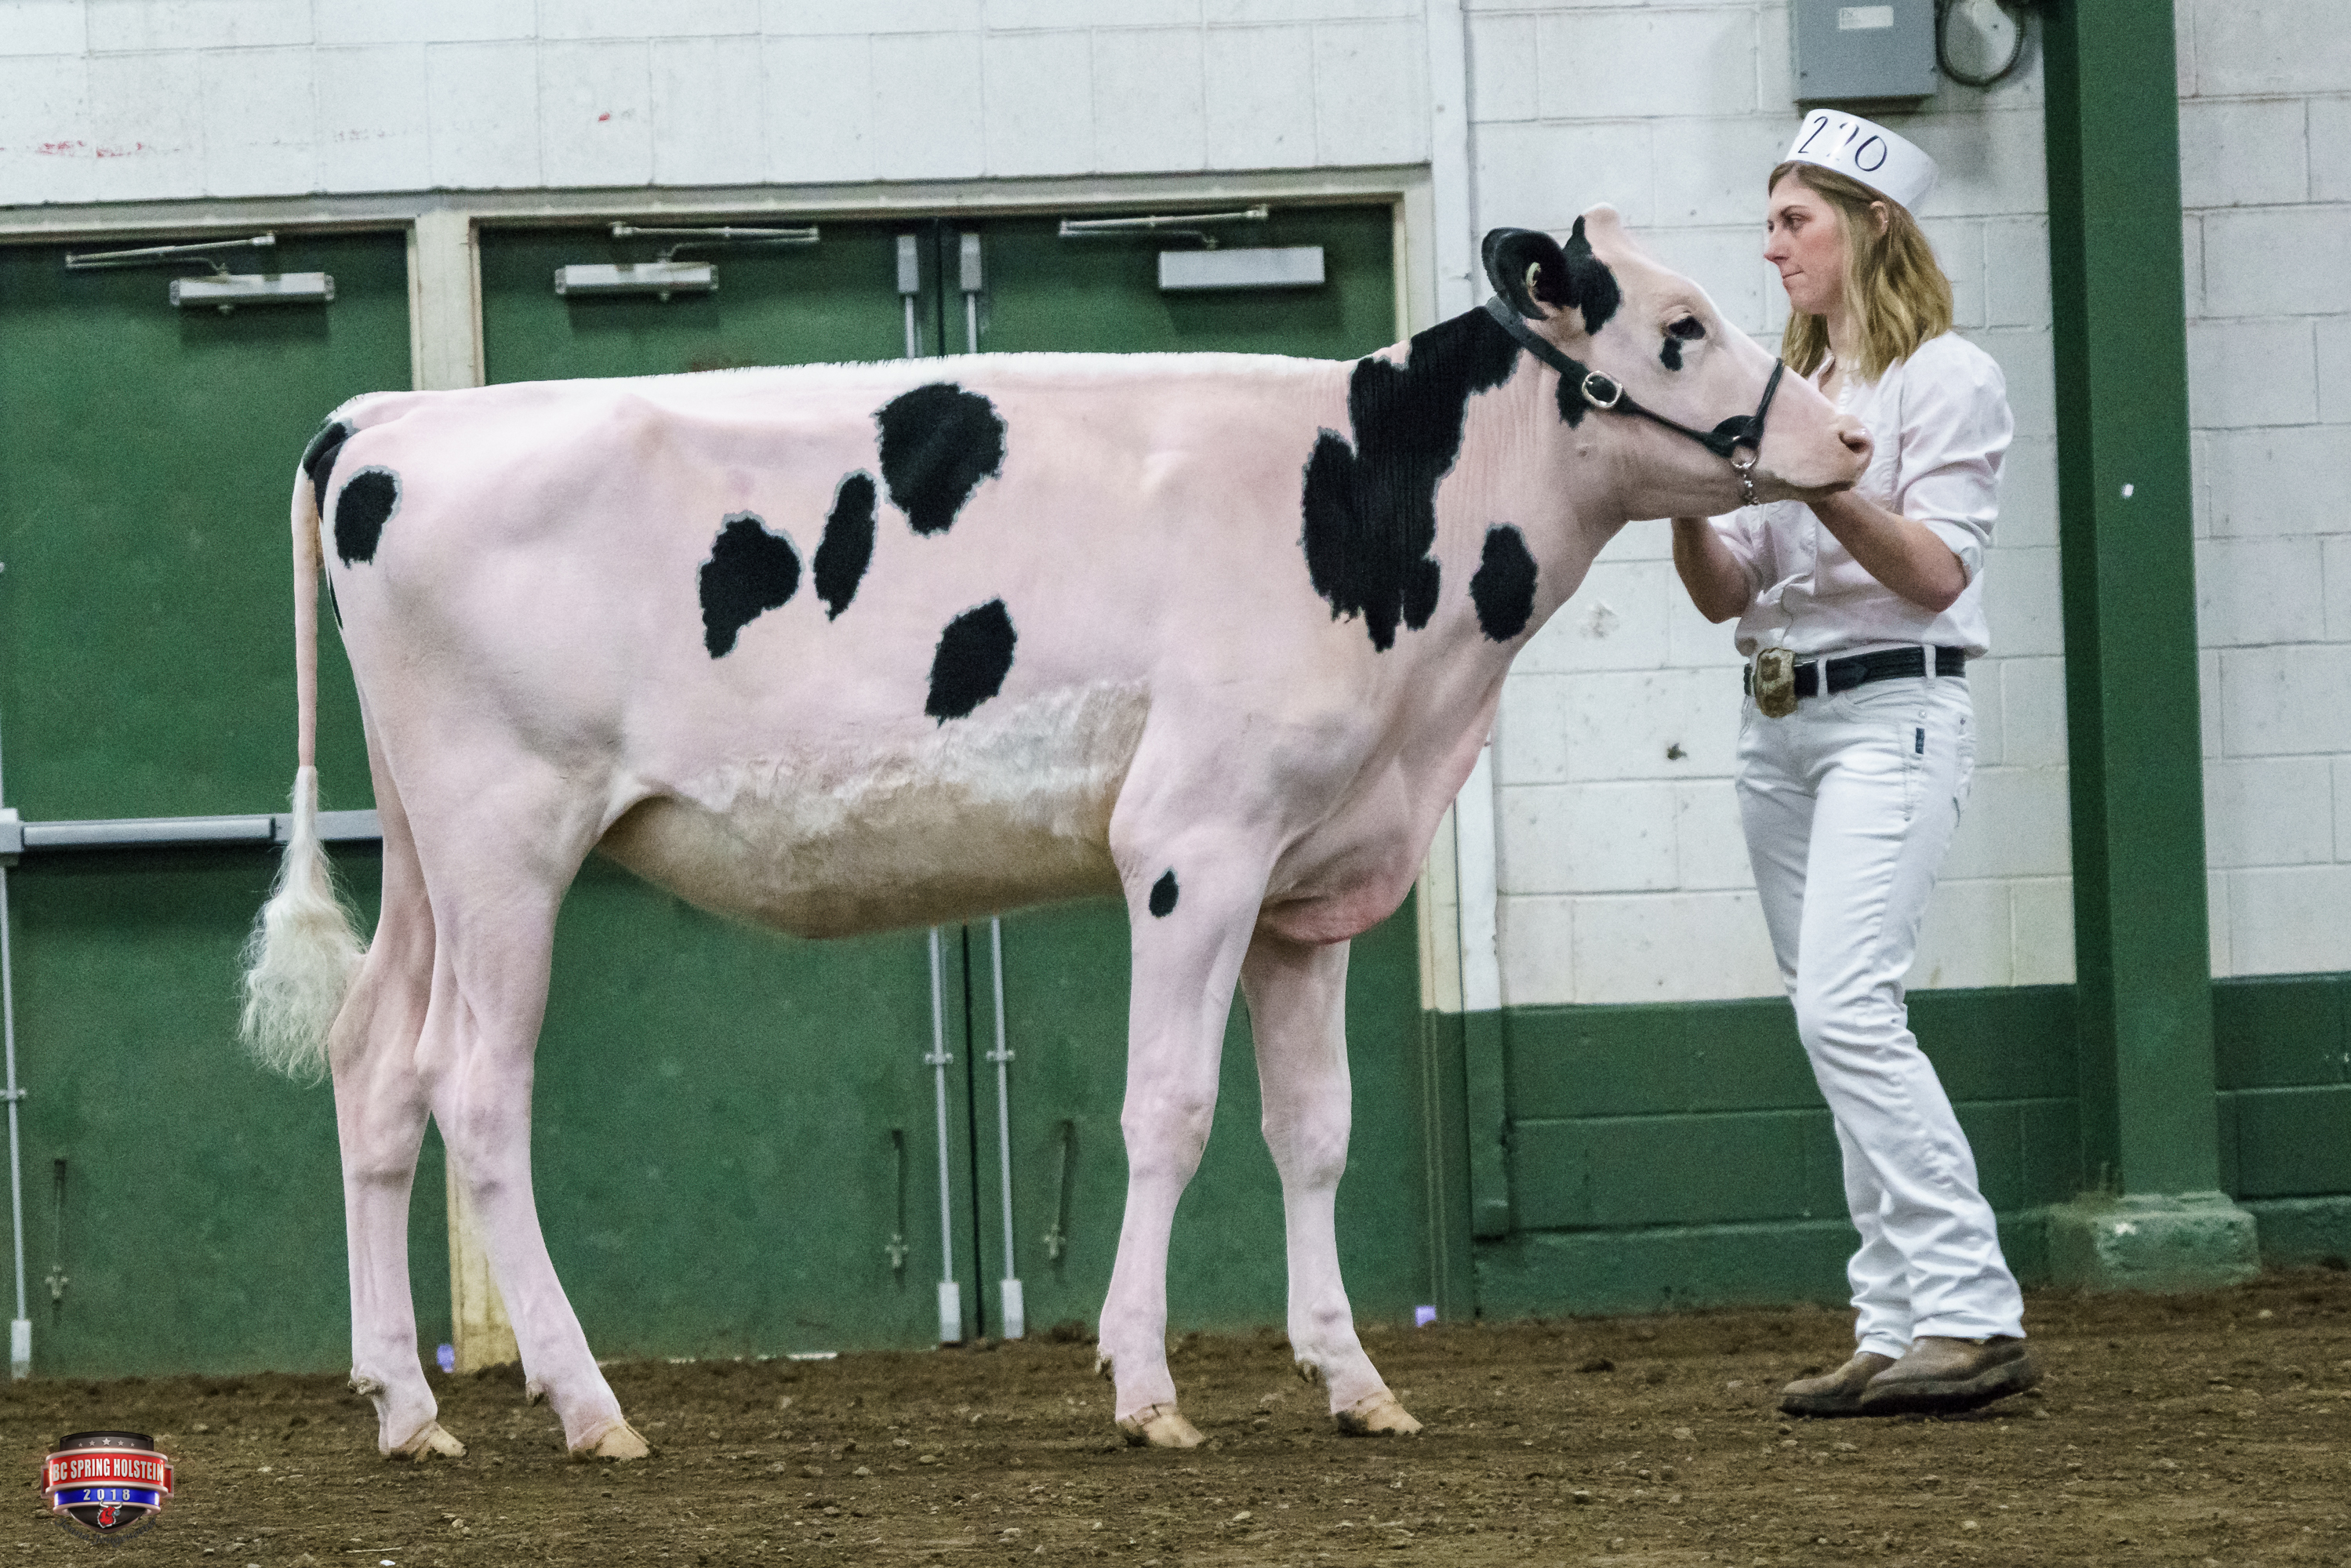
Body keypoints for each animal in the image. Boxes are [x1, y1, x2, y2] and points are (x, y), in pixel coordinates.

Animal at [241, 209, 1867, 1462]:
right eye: (1675, 326)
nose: (1845, 434)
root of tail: (394, 419)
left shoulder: (1307, 875)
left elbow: (1314, 1132)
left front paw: (1351, 1379)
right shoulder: (1192, 844)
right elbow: (1171, 1112)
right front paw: (1144, 1387)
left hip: (424, 847)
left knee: (374, 1066)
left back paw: (406, 1408)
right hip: (506, 836)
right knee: (474, 1092)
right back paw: (586, 1405)